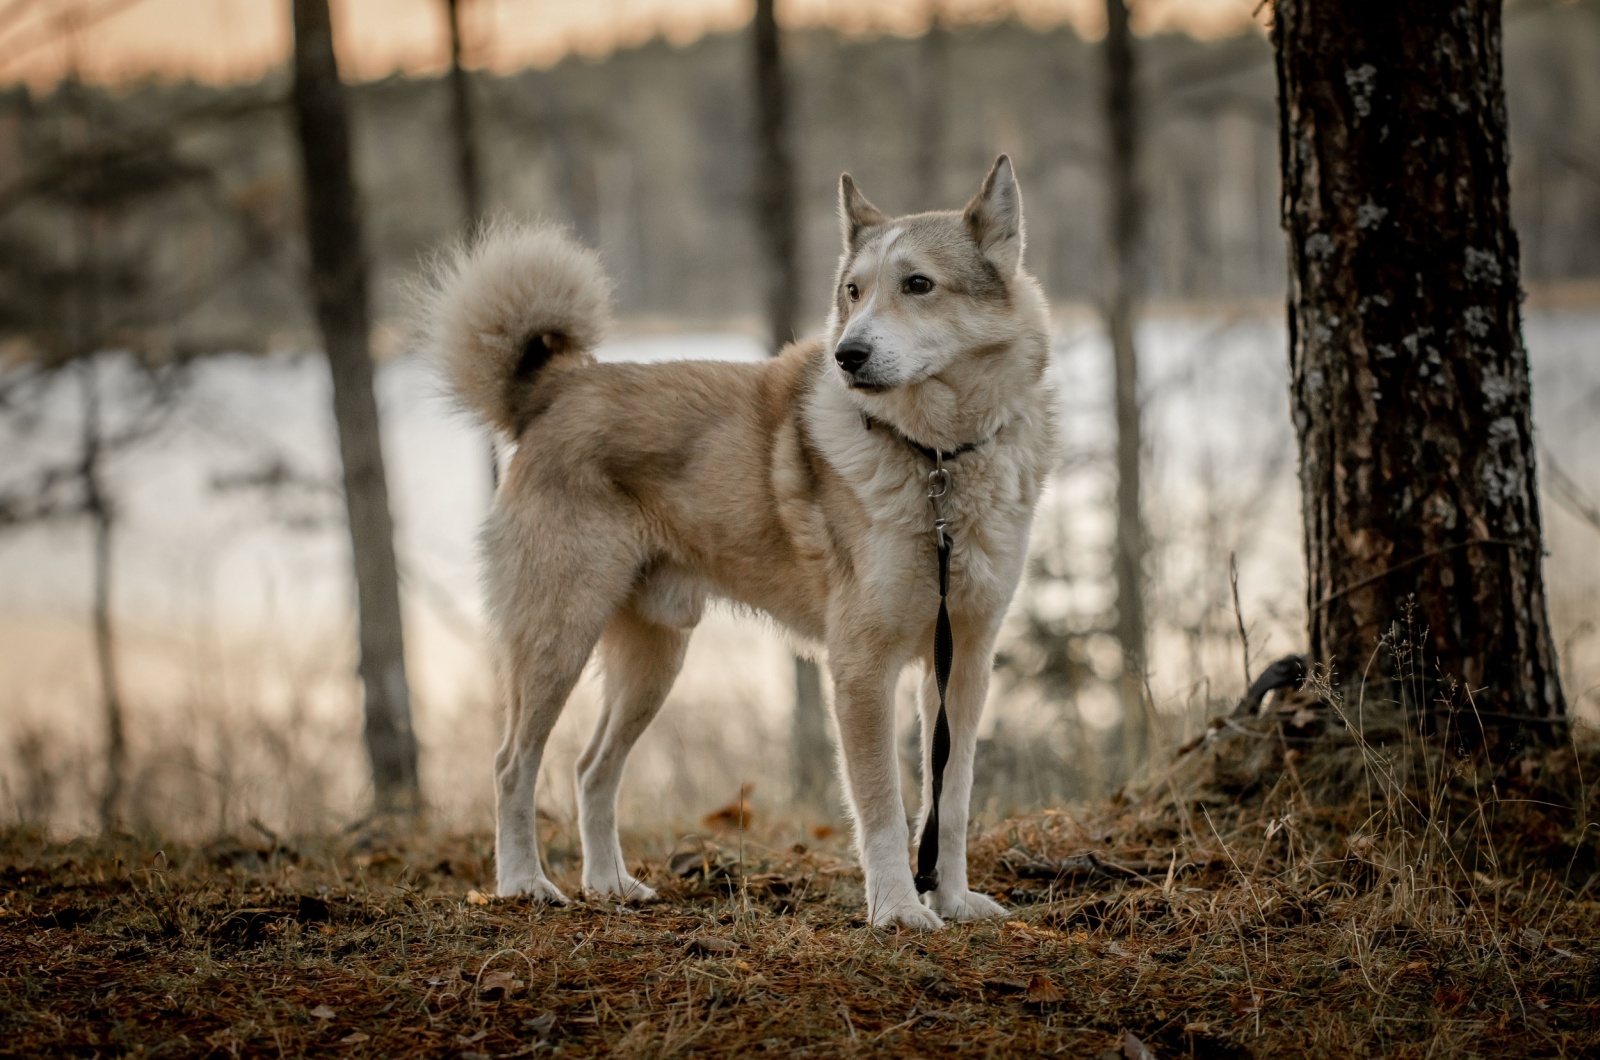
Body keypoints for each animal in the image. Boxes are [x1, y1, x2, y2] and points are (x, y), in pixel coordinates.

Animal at [422, 153, 1062, 928]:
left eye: (918, 284)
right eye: (853, 291)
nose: (848, 355)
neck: (936, 460)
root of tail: (555, 390)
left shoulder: (963, 662)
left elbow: (953, 796)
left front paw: (956, 899)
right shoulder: (861, 667)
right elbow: (882, 805)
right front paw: (898, 911)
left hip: (655, 659)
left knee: (592, 768)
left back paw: (609, 884)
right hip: (558, 636)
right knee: (512, 764)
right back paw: (522, 882)